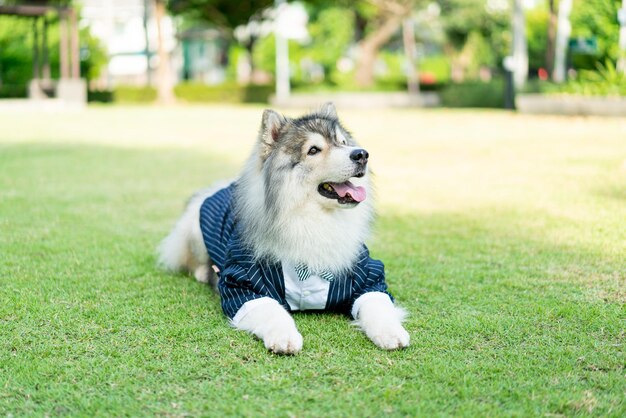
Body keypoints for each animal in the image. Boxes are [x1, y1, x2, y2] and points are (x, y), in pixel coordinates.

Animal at [158, 103, 408, 352]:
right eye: (313, 150)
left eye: (343, 142)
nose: (362, 154)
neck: (312, 221)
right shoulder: (243, 284)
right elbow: (271, 311)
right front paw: (284, 336)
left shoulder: (367, 278)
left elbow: (377, 306)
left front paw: (391, 332)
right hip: (195, 230)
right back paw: (203, 273)